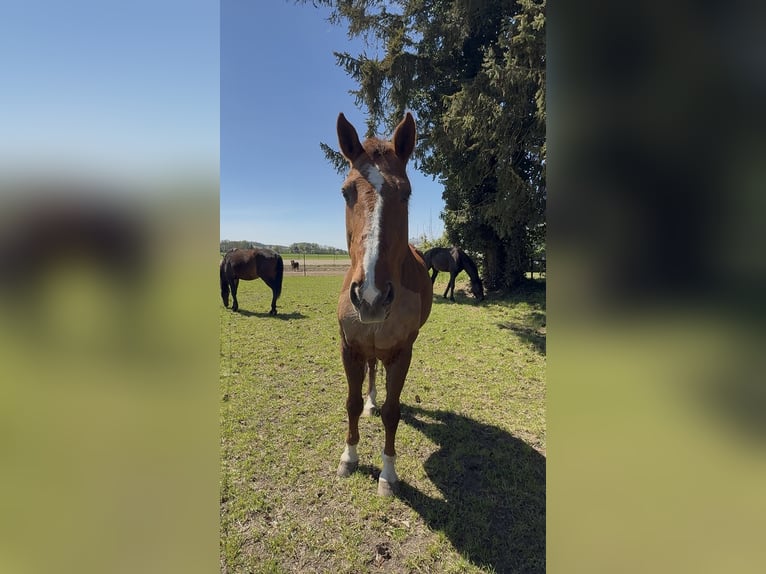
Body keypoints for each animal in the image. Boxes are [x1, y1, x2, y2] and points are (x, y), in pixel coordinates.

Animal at [335, 112, 433, 496]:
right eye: (346, 192)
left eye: (405, 193)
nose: (371, 296)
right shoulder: (350, 348)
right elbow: (350, 402)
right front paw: (349, 458)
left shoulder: (402, 353)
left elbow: (394, 411)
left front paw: (388, 474)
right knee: (372, 373)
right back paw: (370, 403)